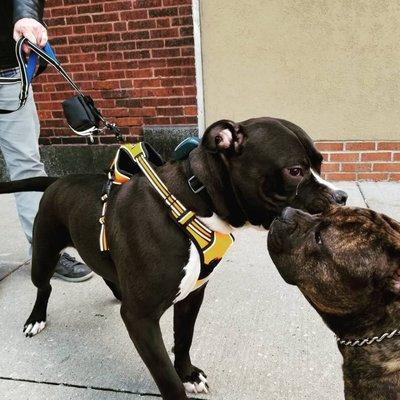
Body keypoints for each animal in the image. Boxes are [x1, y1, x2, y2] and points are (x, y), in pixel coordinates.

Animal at [0, 118, 346, 400]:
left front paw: (188, 373)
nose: (341, 197)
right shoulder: (141, 320)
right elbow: (166, 377)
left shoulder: (192, 294)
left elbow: (184, 338)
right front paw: (178, 380)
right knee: (44, 286)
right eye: (295, 171)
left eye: (320, 163)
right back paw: (36, 318)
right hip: (43, 255)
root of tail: (56, 181)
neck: (194, 201)